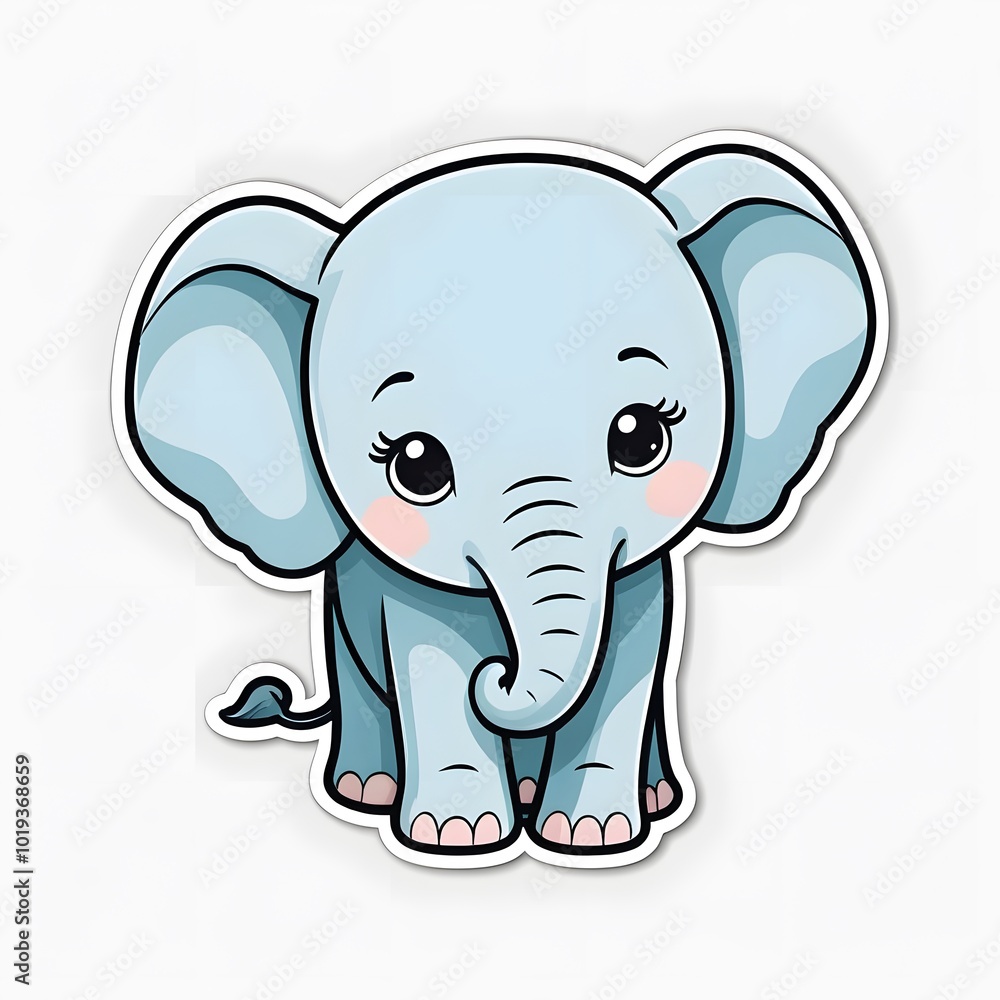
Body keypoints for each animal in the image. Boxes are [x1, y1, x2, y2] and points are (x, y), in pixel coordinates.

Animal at [112, 132, 886, 868]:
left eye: (642, 437)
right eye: (416, 465)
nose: (500, 676)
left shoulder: (639, 579)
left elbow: (628, 661)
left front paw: (591, 837)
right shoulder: (402, 590)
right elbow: (428, 657)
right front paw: (457, 837)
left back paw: (647, 796)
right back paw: (367, 790)